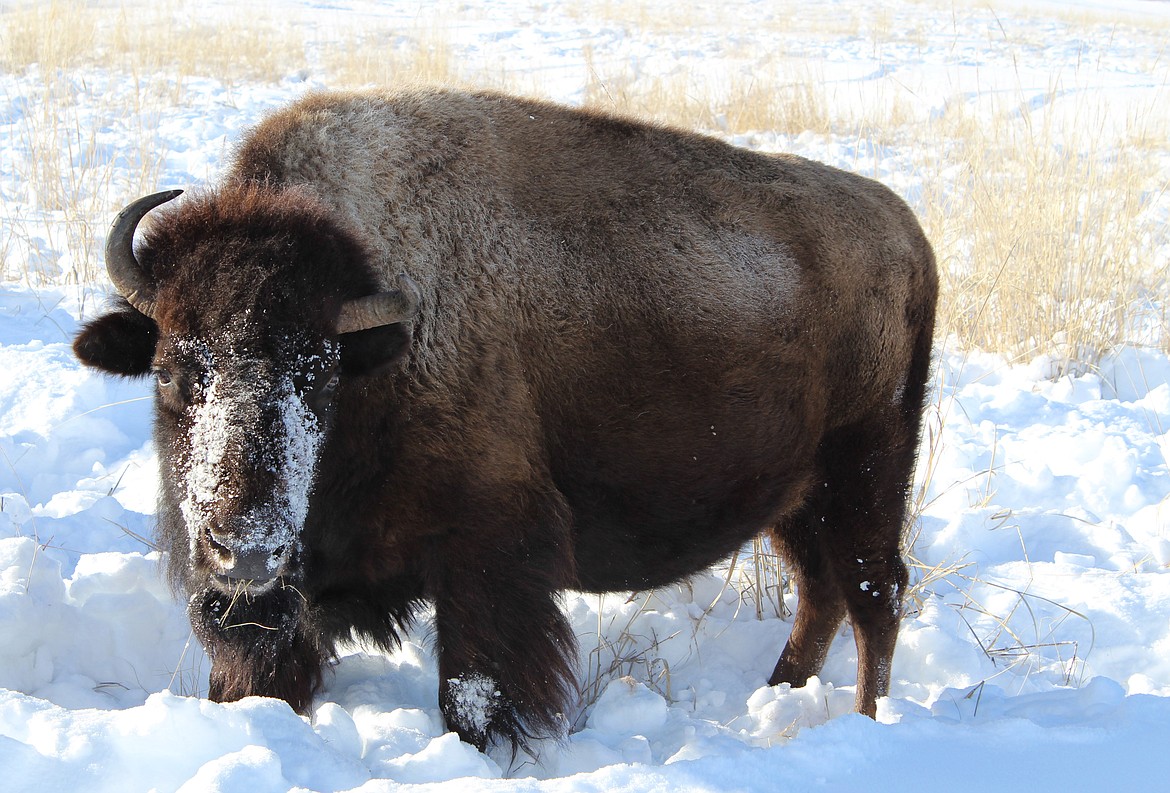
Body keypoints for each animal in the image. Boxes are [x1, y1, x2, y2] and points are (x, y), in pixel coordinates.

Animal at [73, 88, 938, 751]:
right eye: (172, 370)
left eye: (316, 373)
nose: (243, 548)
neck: (378, 346)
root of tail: (905, 229)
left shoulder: (487, 558)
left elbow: (475, 690)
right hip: (796, 495)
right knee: (822, 589)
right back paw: (780, 690)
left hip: (866, 469)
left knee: (874, 590)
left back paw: (869, 720)